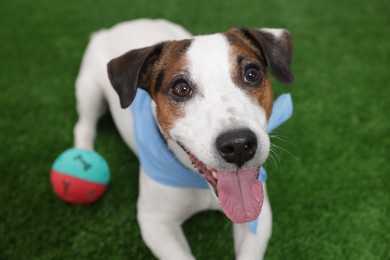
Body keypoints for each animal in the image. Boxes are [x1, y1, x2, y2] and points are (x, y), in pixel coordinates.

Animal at [73, 18, 292, 260]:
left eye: (252, 74)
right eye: (181, 88)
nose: (239, 145)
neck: (203, 183)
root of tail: (115, 28)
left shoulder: (259, 216)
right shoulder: (155, 222)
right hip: (90, 91)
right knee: (84, 126)